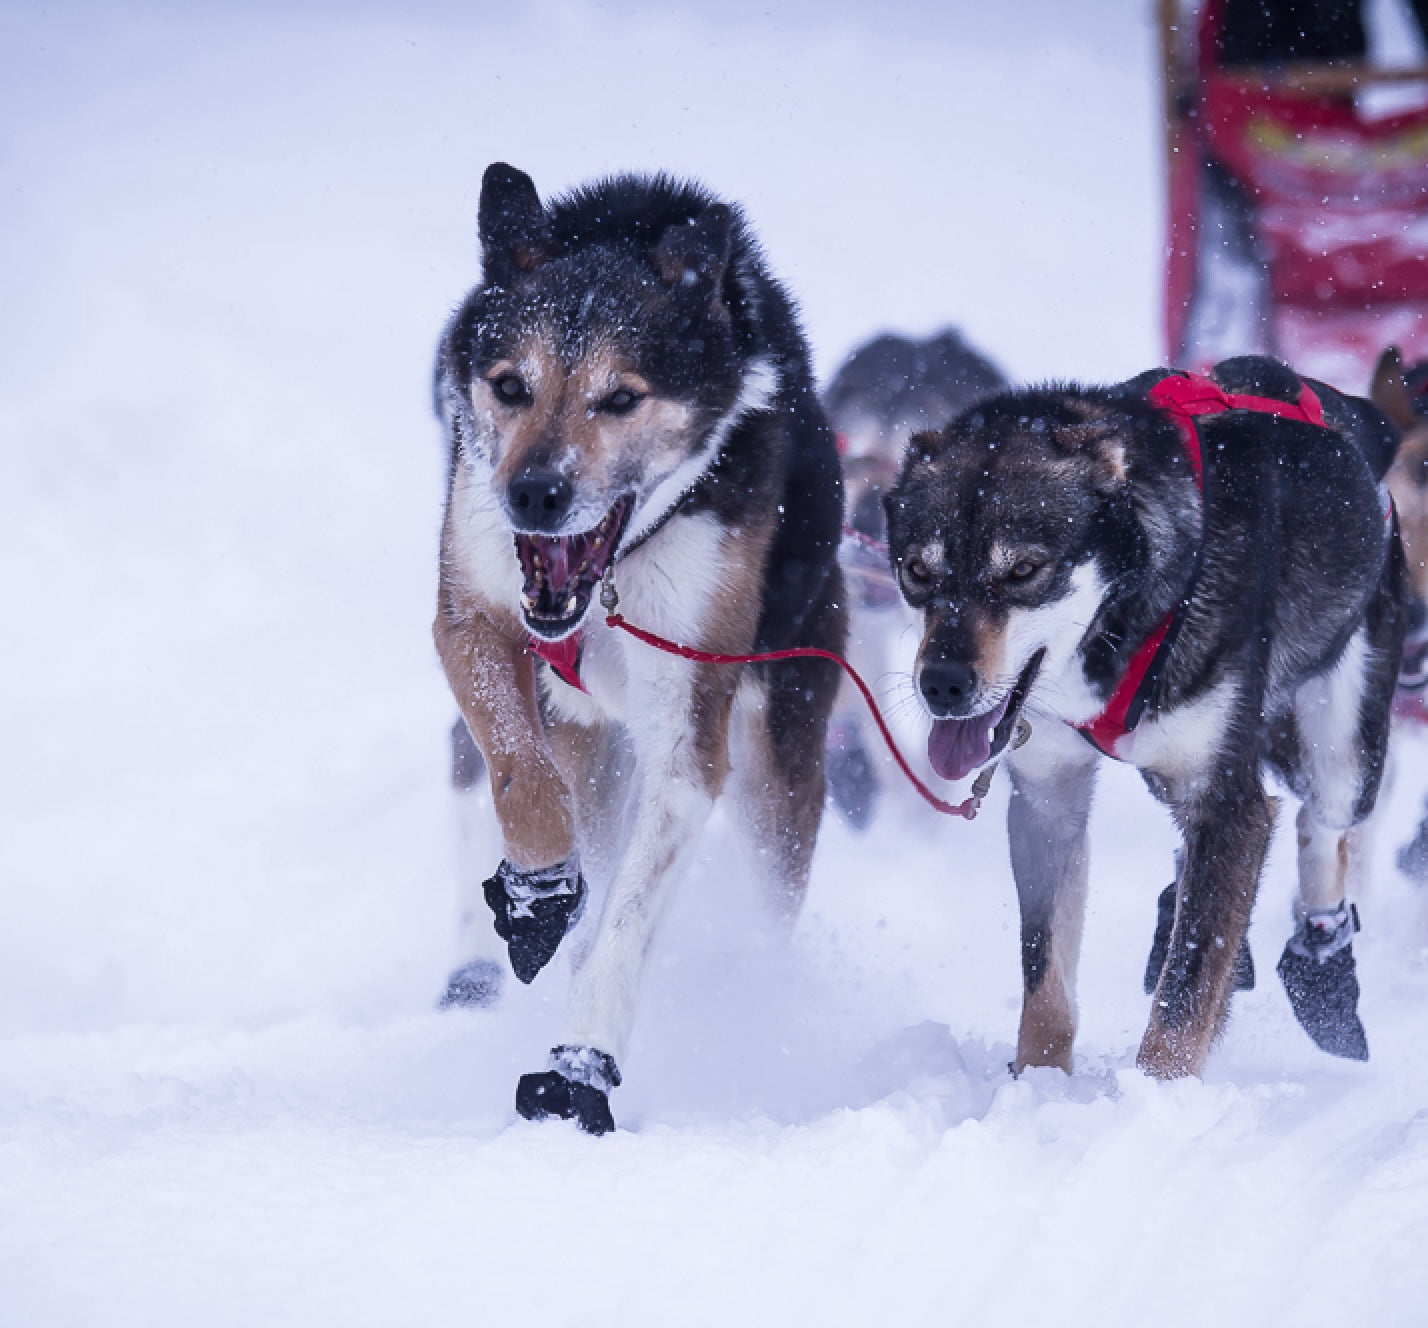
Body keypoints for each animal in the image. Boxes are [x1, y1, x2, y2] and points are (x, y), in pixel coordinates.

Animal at [428, 157, 839, 1130]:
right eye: (510, 385)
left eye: (620, 398)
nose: (534, 494)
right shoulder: (471, 616)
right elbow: (520, 778)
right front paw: (539, 896)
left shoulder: (690, 726)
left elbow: (624, 925)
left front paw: (581, 1065)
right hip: (591, 738)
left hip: (774, 756)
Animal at [885, 354, 1399, 1073]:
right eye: (918, 571)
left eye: (1024, 569)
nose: (943, 684)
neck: (1122, 622)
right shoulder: (1048, 798)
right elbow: (1045, 976)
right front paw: (1038, 1082)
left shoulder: (1227, 803)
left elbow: (1185, 1000)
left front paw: (1159, 1091)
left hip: (1342, 752)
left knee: (1320, 824)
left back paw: (1321, 970)